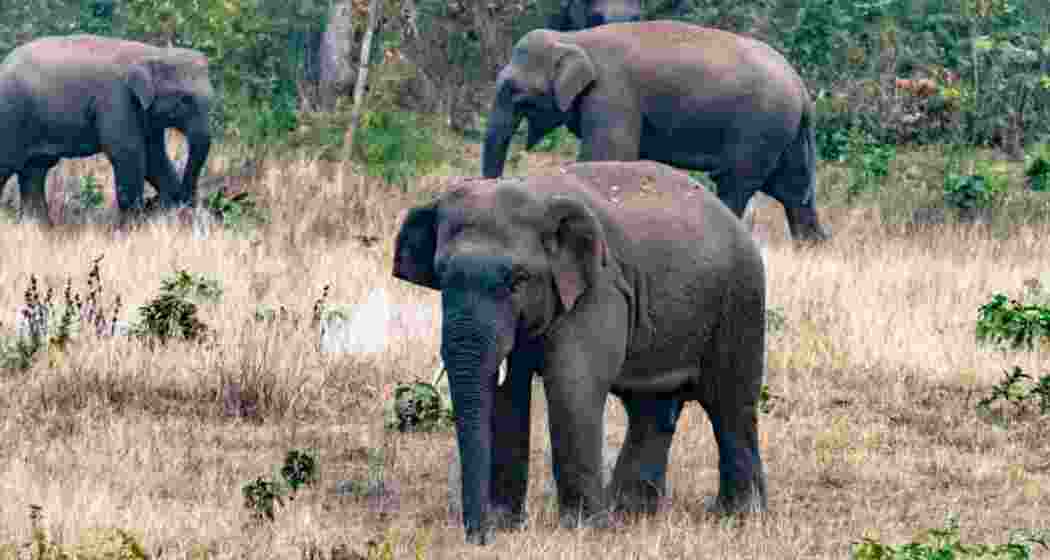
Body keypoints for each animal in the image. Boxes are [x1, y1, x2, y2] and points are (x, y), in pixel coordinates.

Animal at [0, 34, 214, 225]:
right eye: (185, 100)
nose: (154, 202)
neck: (154, 52)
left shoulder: (146, 115)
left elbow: (154, 158)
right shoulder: (117, 99)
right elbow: (128, 153)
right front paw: (131, 228)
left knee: (34, 171)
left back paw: (40, 229)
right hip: (10, 117)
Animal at [393, 160, 767, 544]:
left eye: (518, 279)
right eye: (441, 276)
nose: (478, 538)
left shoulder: (598, 289)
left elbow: (572, 386)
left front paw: (583, 531)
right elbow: (506, 393)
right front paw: (506, 524)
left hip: (741, 298)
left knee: (730, 403)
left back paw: (738, 517)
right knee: (652, 407)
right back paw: (629, 513)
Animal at [482, 21, 829, 242]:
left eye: (514, 92)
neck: (574, 37)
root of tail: (801, 88)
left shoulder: (612, 94)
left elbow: (607, 153)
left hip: (761, 127)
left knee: (735, 183)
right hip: (786, 133)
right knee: (793, 192)